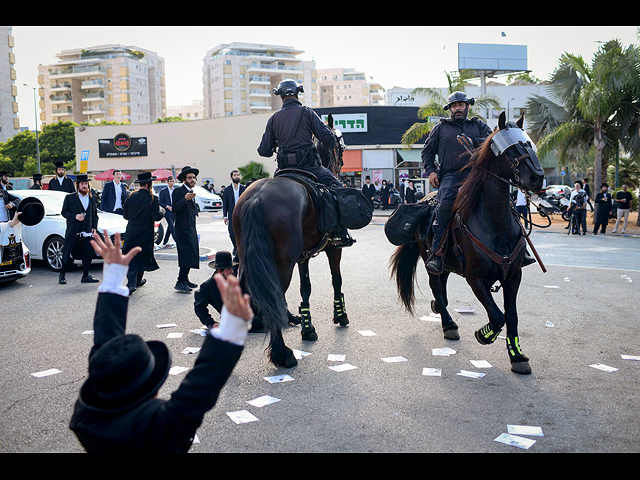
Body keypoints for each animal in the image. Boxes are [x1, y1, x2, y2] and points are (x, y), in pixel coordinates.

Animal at [232, 116, 348, 368]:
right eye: (339, 143)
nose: (341, 162)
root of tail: (256, 198)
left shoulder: (303, 256)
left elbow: (306, 288)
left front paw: (307, 327)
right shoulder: (333, 249)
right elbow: (337, 280)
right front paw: (341, 314)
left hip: (249, 259)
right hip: (282, 264)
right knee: (273, 297)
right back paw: (282, 353)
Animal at [390, 113, 544, 376]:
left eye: (530, 145)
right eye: (512, 149)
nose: (537, 177)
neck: (495, 223)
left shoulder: (514, 276)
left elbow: (511, 316)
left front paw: (517, 356)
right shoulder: (475, 278)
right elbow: (498, 316)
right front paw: (484, 334)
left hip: (448, 266)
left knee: (441, 288)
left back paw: (439, 309)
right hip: (432, 261)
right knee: (436, 287)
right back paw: (449, 324)